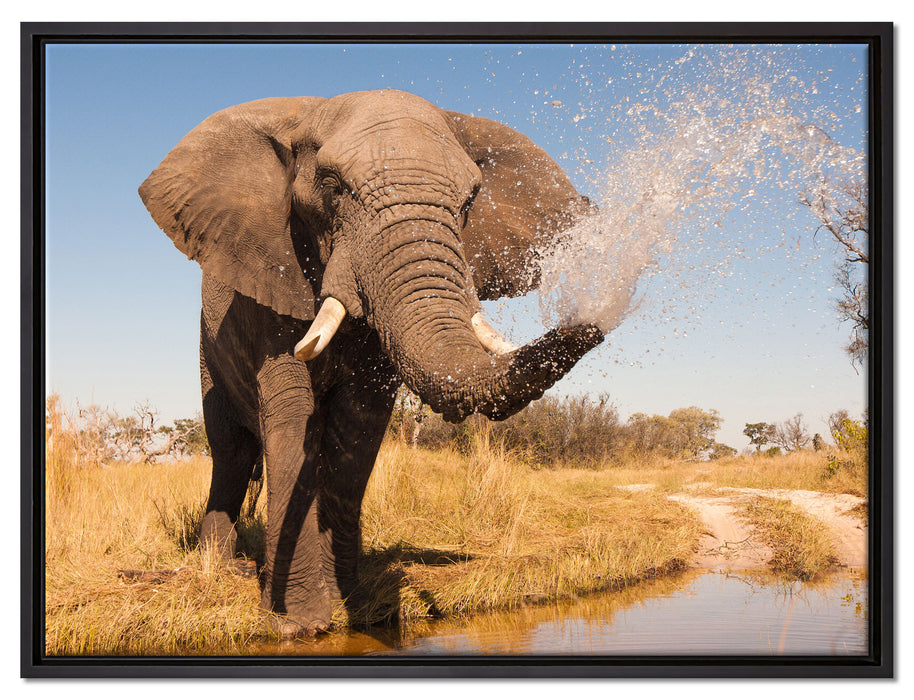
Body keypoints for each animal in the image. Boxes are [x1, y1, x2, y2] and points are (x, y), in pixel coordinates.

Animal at [139, 89, 604, 636]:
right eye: (331, 186)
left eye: (470, 201)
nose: (595, 318)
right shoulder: (271, 276)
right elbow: (291, 412)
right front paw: (297, 624)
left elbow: (358, 422)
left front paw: (355, 609)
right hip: (207, 351)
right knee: (229, 450)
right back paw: (221, 566)